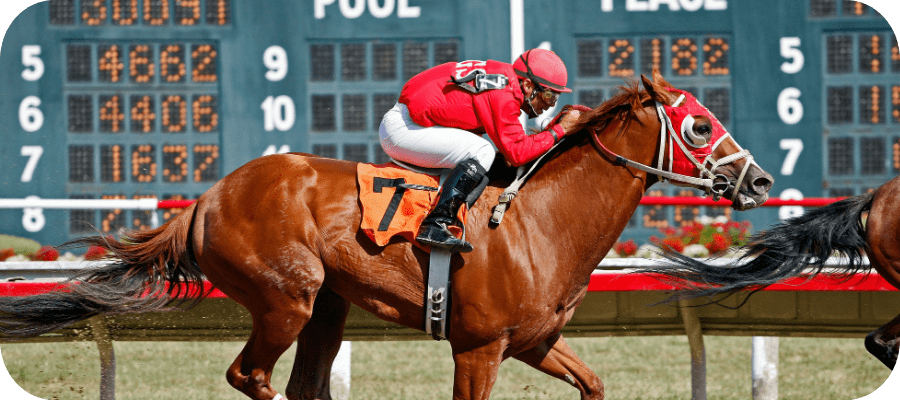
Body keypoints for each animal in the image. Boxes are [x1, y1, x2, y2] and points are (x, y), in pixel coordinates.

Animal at [0, 70, 773, 400]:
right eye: (699, 125)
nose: (761, 180)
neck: (540, 224)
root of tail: (209, 197)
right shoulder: (477, 349)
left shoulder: (534, 342)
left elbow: (593, 384)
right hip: (288, 297)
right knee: (251, 376)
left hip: (327, 309)